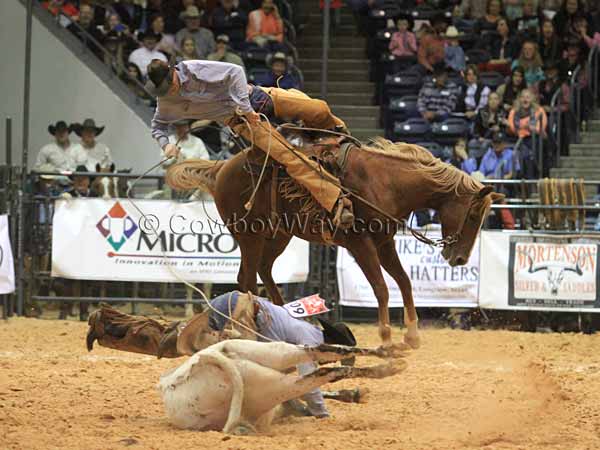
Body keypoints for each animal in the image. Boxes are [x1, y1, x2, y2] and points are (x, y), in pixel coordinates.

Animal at [166, 137, 504, 348]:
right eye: (474, 215)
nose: (460, 259)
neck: (385, 182)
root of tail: (222, 168)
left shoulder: (385, 242)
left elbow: (404, 283)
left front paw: (412, 336)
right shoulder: (359, 243)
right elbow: (381, 287)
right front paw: (386, 336)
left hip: (278, 235)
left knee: (264, 270)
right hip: (250, 234)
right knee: (246, 277)